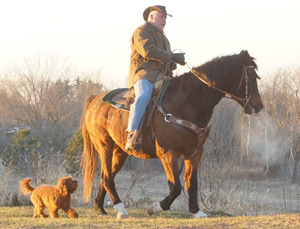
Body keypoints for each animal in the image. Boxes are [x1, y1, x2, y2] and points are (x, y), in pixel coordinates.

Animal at [81, 51, 264, 219]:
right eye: (251, 76)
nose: (259, 105)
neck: (187, 102)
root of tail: (95, 99)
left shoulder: (195, 152)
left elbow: (191, 184)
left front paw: (196, 211)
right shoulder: (168, 153)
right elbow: (176, 187)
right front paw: (155, 207)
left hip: (120, 150)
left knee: (107, 175)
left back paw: (99, 206)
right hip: (104, 144)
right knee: (107, 176)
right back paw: (121, 209)